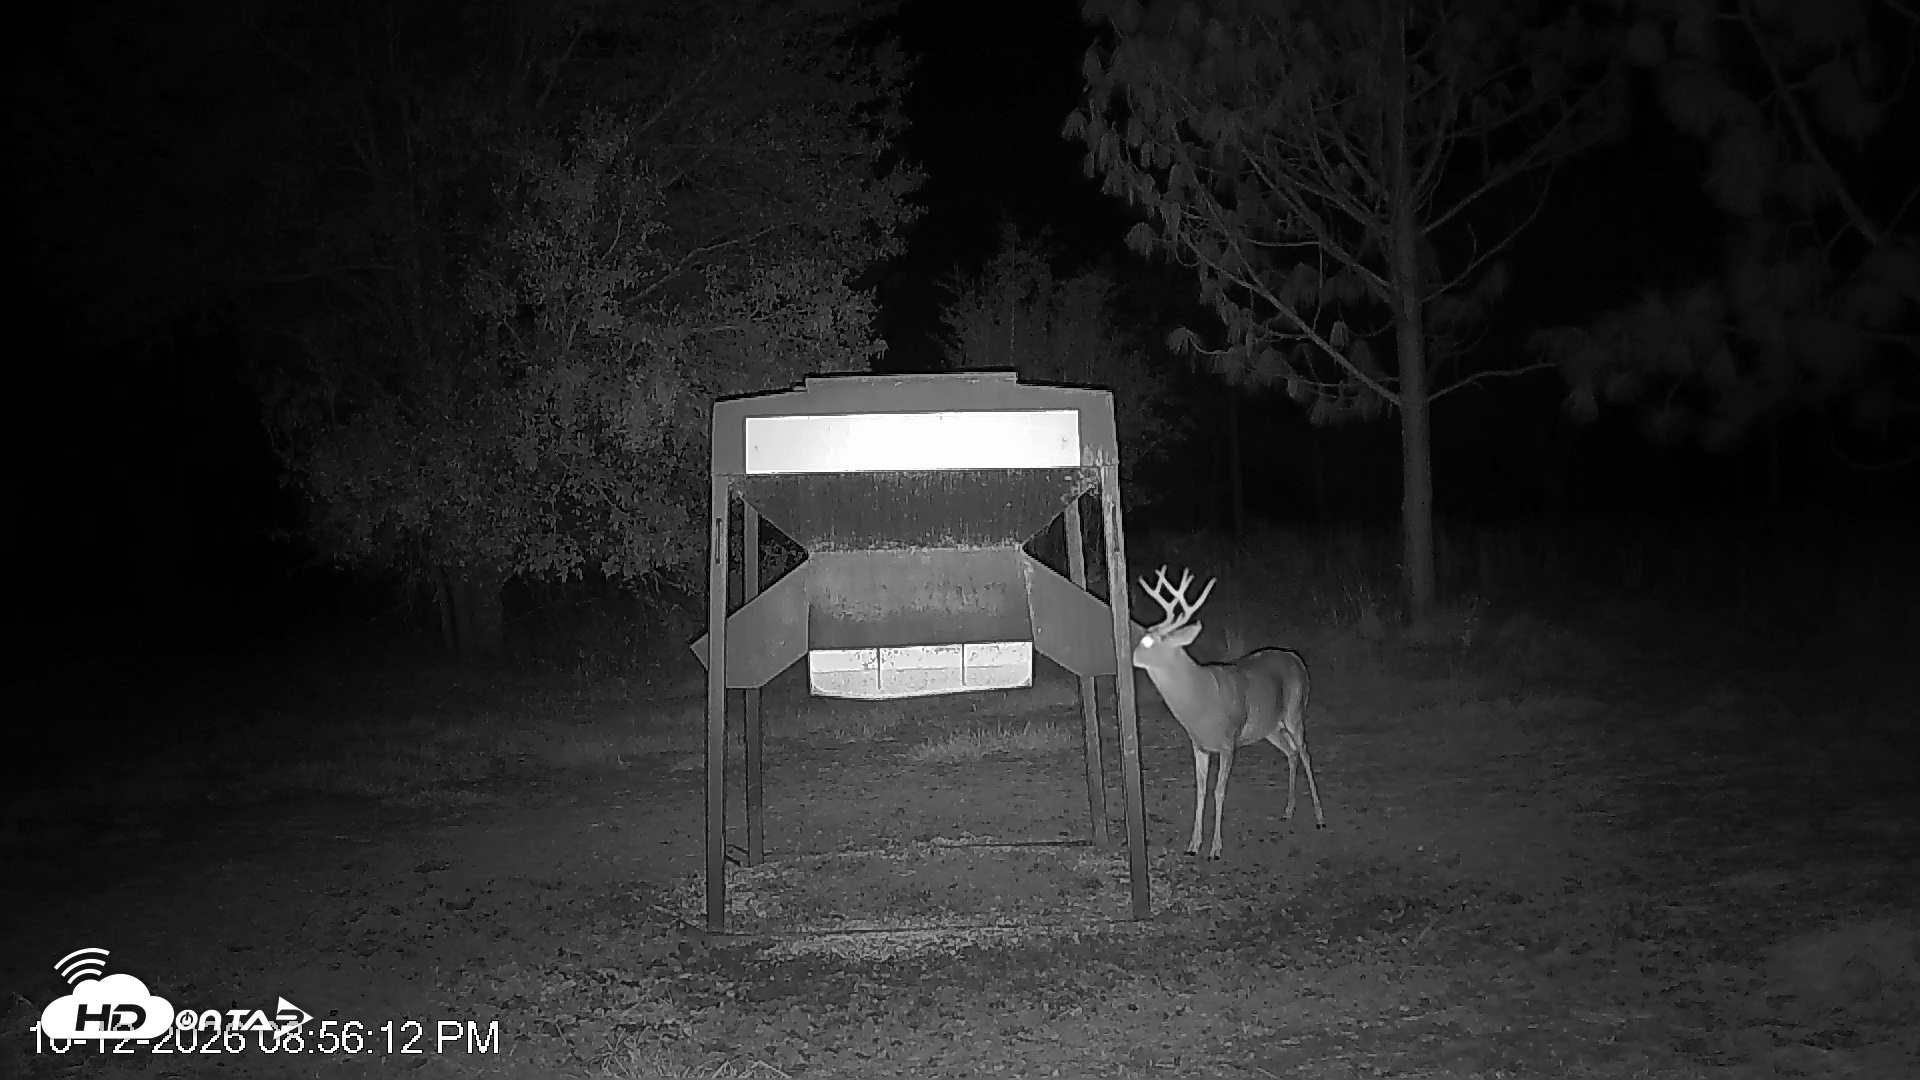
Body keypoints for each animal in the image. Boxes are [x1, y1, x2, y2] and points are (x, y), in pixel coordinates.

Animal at [1133, 566, 1326, 859]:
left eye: (1148, 641)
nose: (1130, 655)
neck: (1200, 701)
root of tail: (1296, 658)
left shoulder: (1228, 742)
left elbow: (1219, 791)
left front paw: (1215, 849)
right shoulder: (1199, 744)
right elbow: (1201, 791)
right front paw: (1193, 845)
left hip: (1295, 711)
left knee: (1304, 753)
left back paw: (1319, 817)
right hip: (1269, 727)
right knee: (1291, 753)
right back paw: (1287, 811)